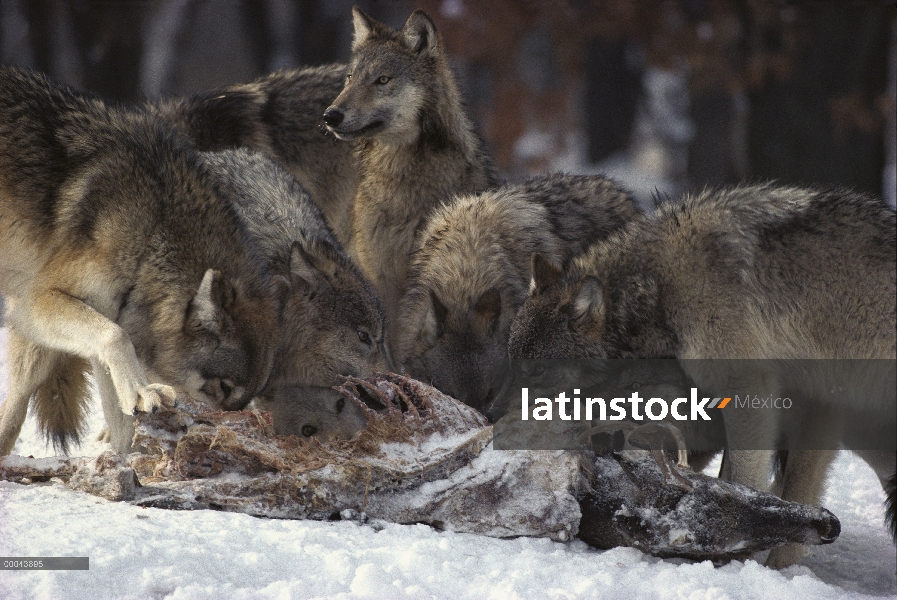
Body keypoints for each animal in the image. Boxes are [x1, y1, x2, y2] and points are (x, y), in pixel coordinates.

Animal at [0, 67, 282, 454]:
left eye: (241, 399)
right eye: (223, 387)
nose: (236, 426)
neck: (152, 236)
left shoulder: (100, 316)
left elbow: (121, 417)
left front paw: (124, 455)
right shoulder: (39, 300)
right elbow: (116, 338)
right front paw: (142, 392)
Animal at [508, 183, 892, 568]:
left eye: (538, 369)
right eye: (511, 362)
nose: (505, 423)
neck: (659, 286)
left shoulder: (747, 388)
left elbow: (744, 475)